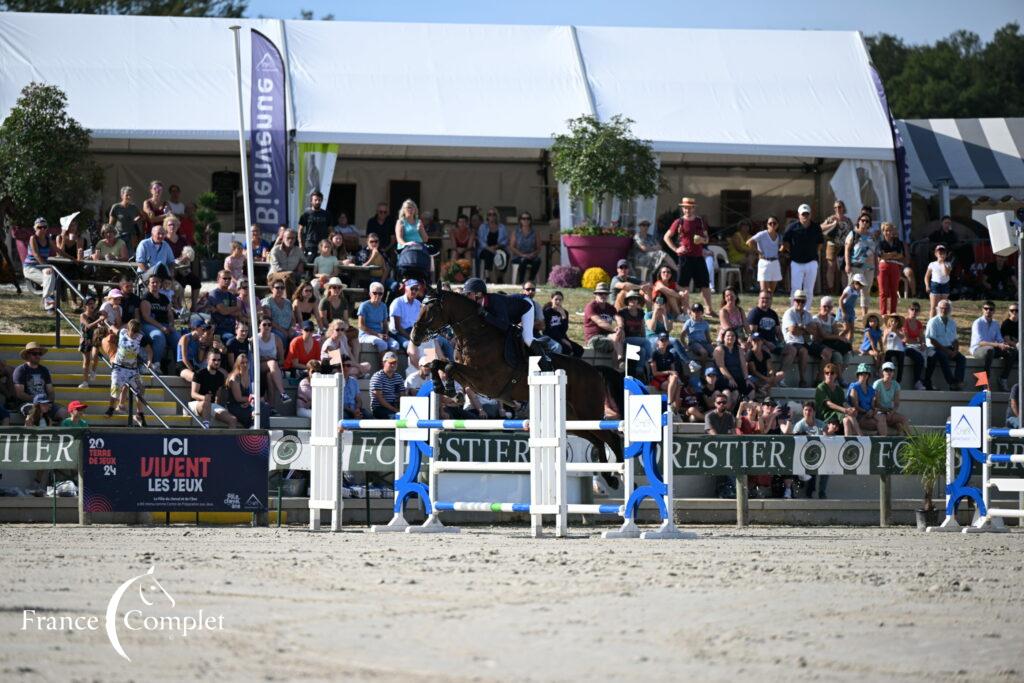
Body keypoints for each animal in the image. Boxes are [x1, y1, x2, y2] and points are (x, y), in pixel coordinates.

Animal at [409, 286, 622, 483]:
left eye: (431, 308)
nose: (414, 336)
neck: (476, 335)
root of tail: (595, 371)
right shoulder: (471, 379)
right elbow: (439, 363)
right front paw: (442, 387)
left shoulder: (485, 380)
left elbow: (449, 366)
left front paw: (451, 390)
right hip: (573, 420)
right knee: (597, 439)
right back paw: (609, 477)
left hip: (588, 412)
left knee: (611, 437)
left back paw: (618, 473)